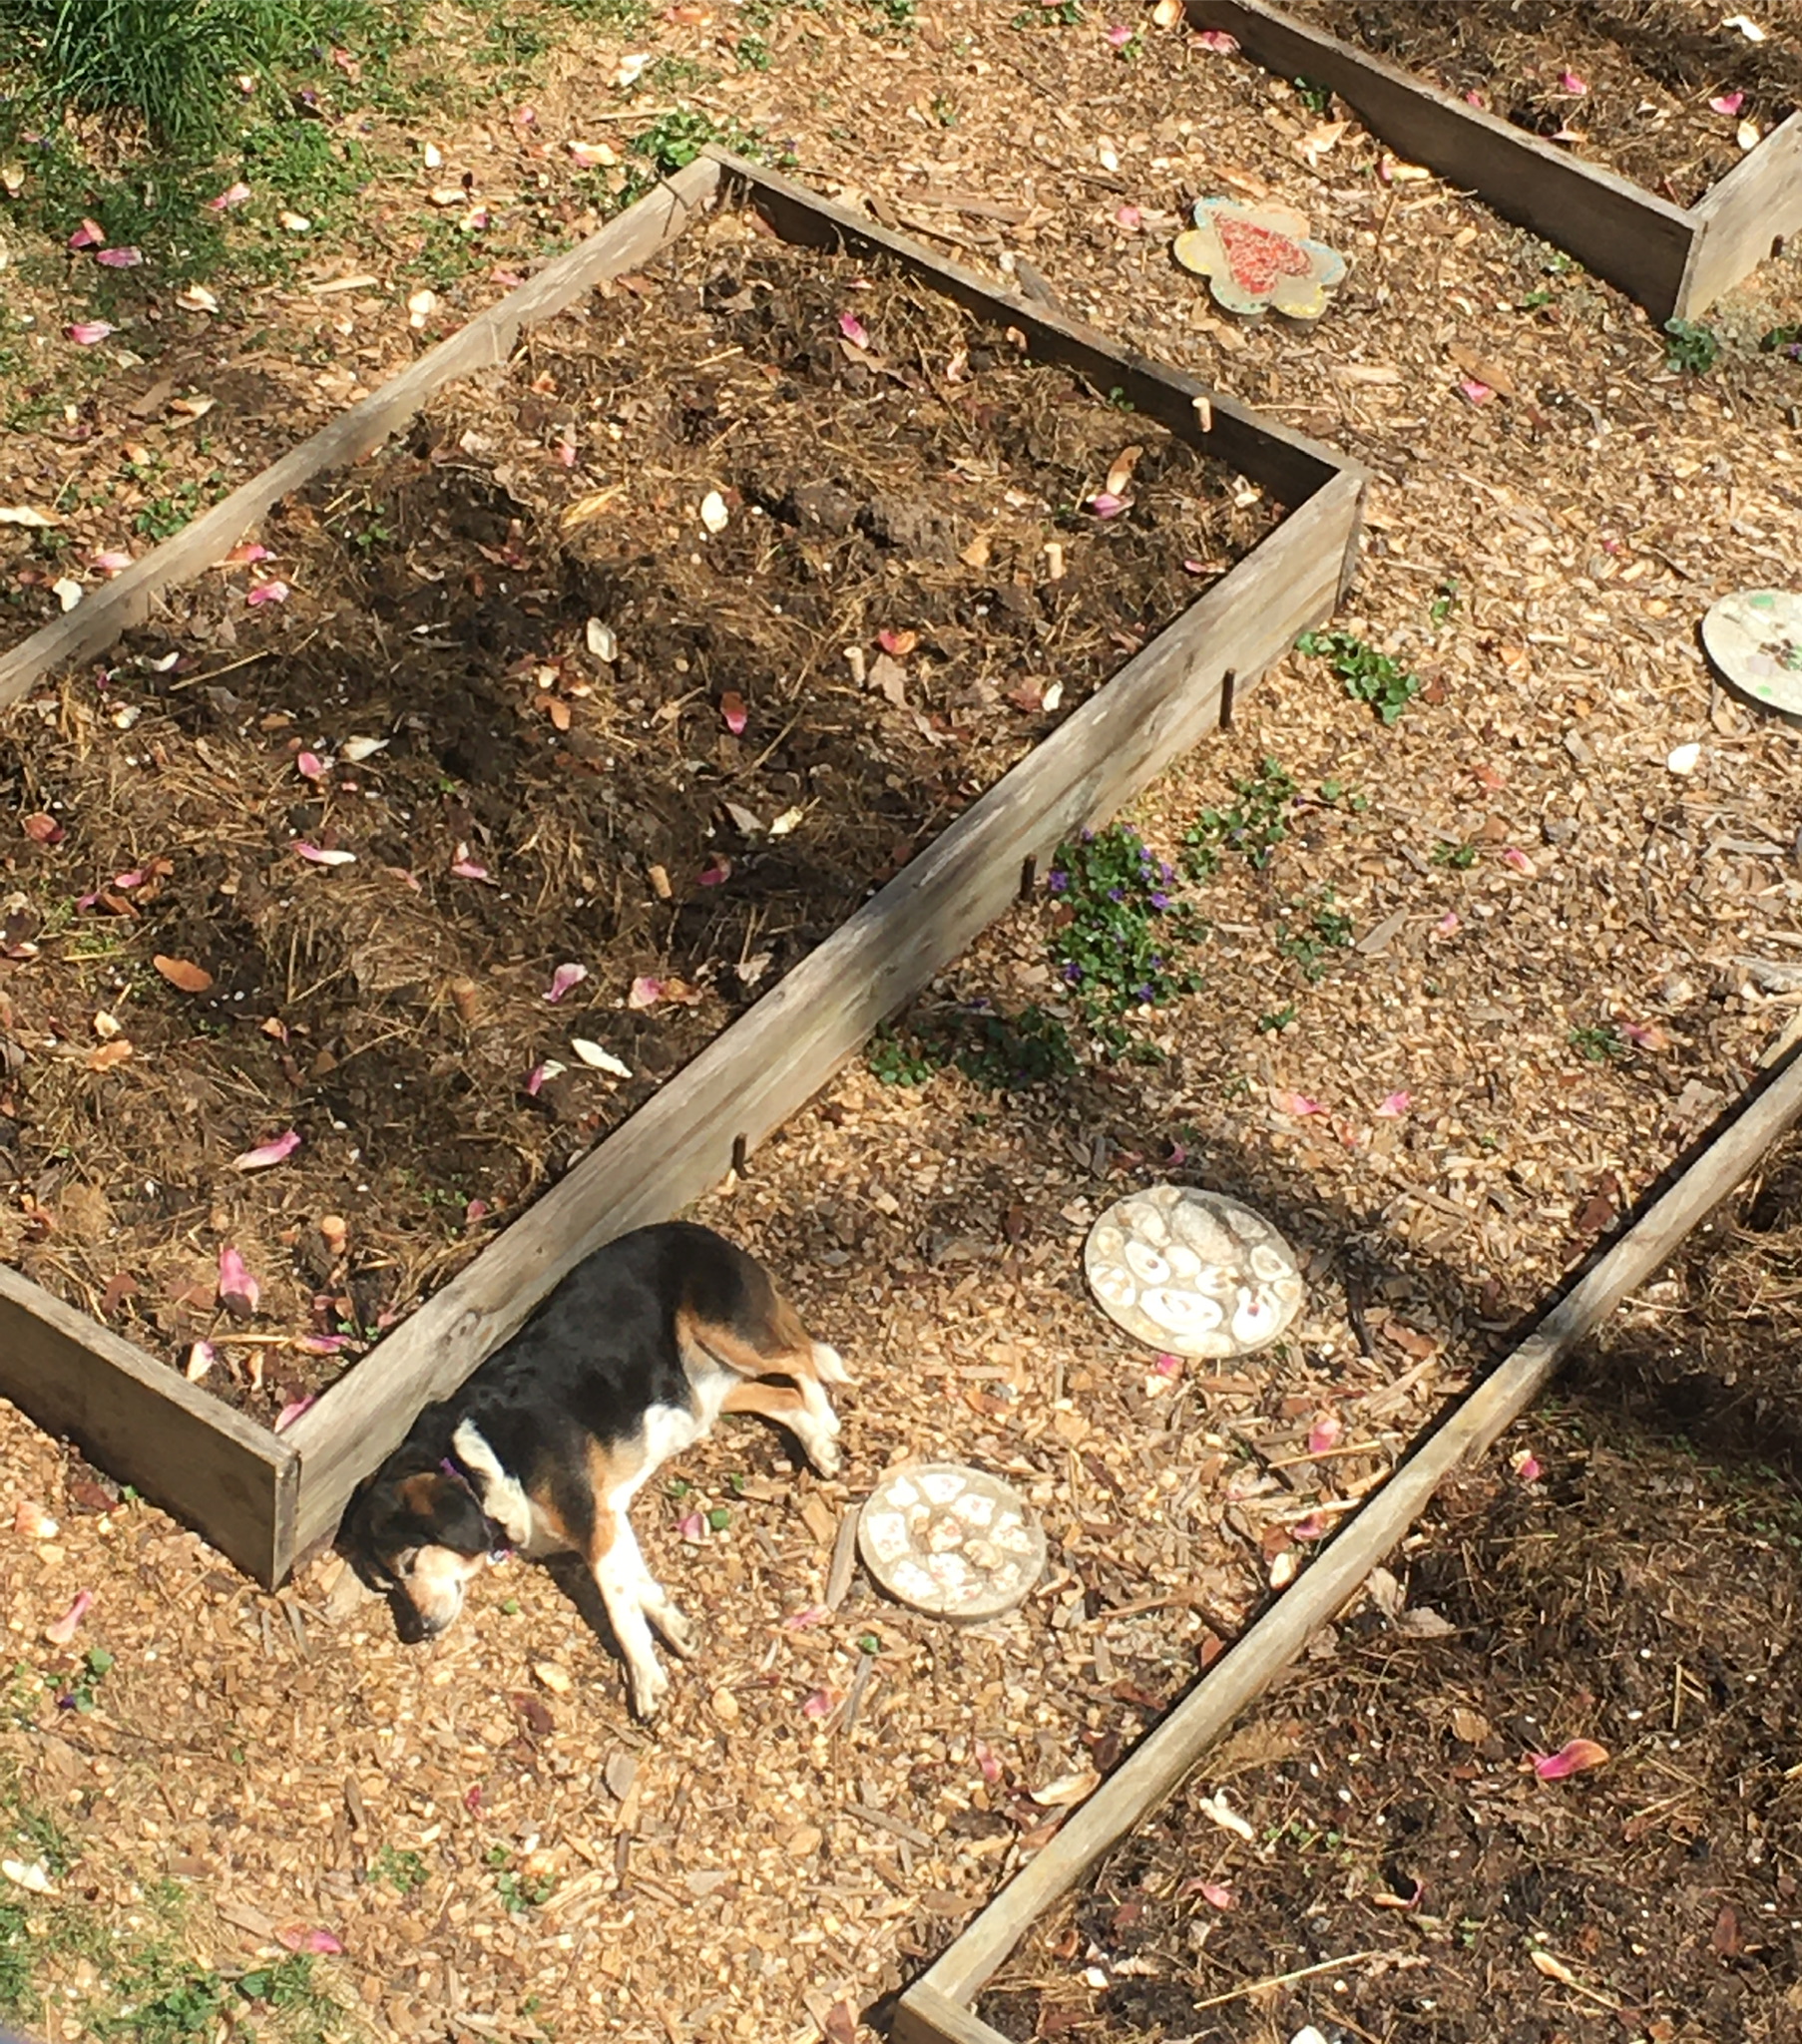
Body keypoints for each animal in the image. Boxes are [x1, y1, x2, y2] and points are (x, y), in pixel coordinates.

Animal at [345, 1220, 850, 1716]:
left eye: (410, 1563)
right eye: (388, 1585)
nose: (417, 1630)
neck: (477, 1462)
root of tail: (695, 1228)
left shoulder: (591, 1523)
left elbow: (617, 1606)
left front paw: (644, 1679)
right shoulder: (605, 1515)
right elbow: (636, 1583)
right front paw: (673, 1626)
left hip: (728, 1334)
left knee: (801, 1359)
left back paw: (825, 1417)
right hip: (709, 1393)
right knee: (780, 1396)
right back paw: (817, 1442)